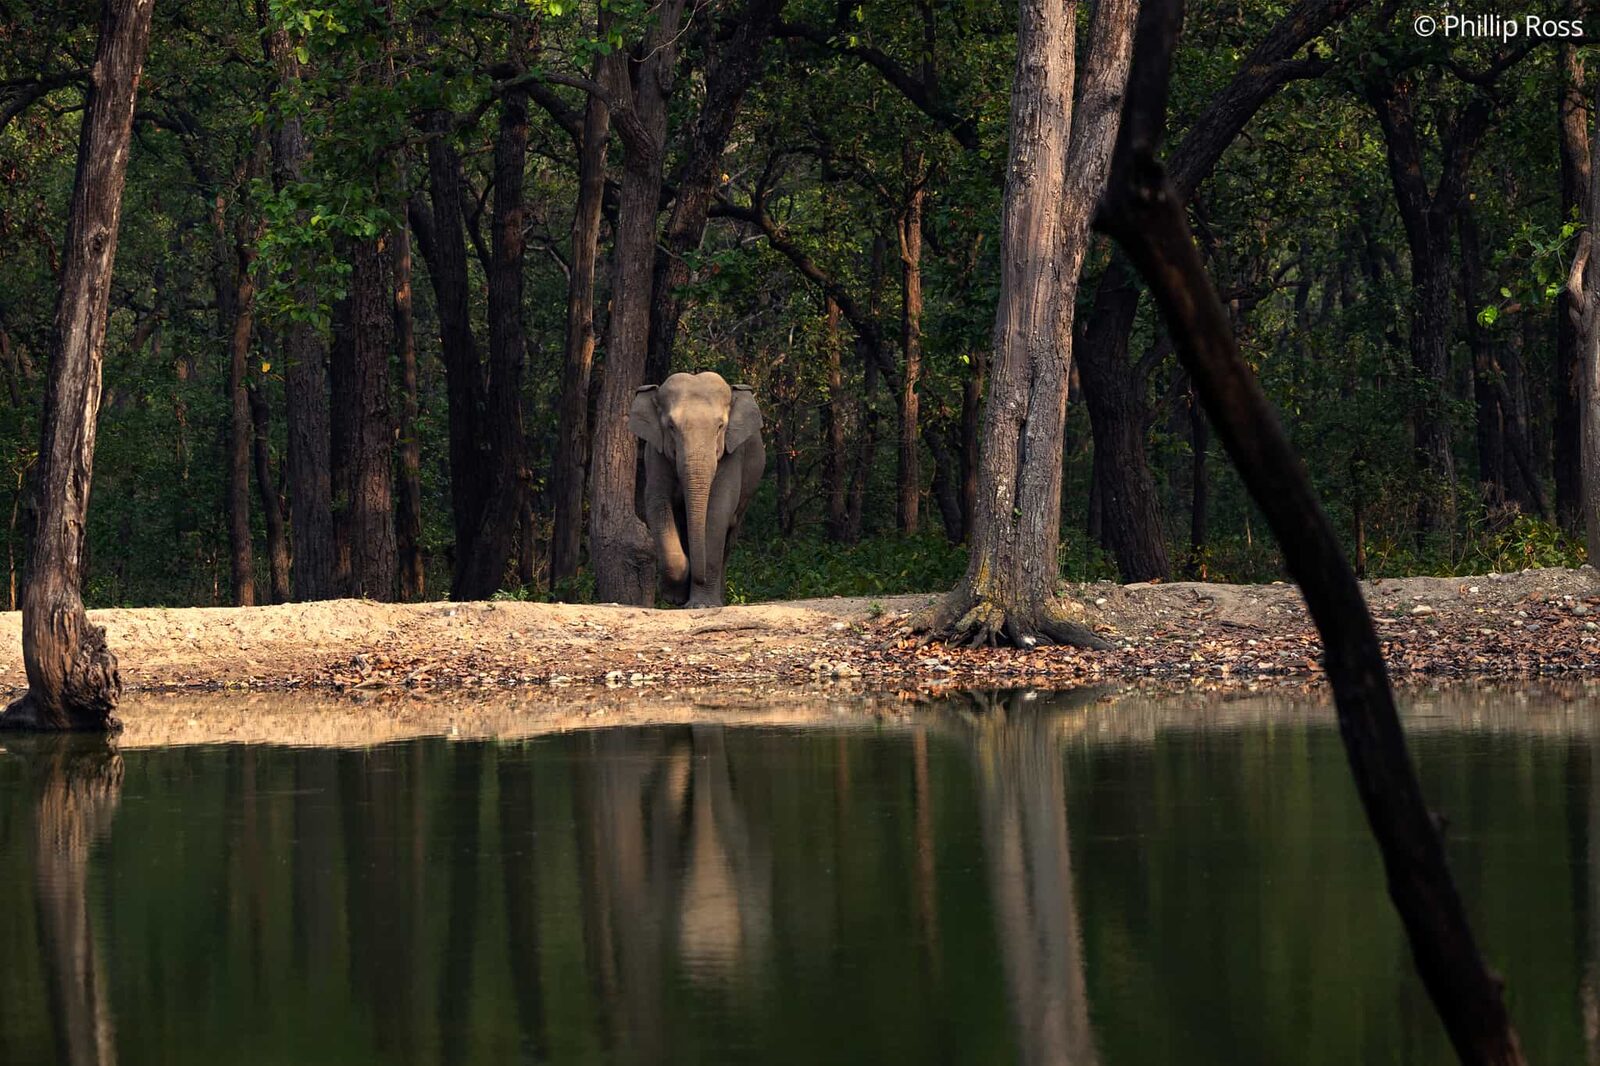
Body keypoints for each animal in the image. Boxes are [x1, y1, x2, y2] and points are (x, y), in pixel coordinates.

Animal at [629, 371, 765, 608]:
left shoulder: (733, 453)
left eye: (720, 426)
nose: (698, 576)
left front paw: (702, 605)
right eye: (671, 427)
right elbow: (657, 503)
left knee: (729, 536)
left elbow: (718, 510)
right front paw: (674, 595)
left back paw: (717, 600)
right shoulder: (655, 453)